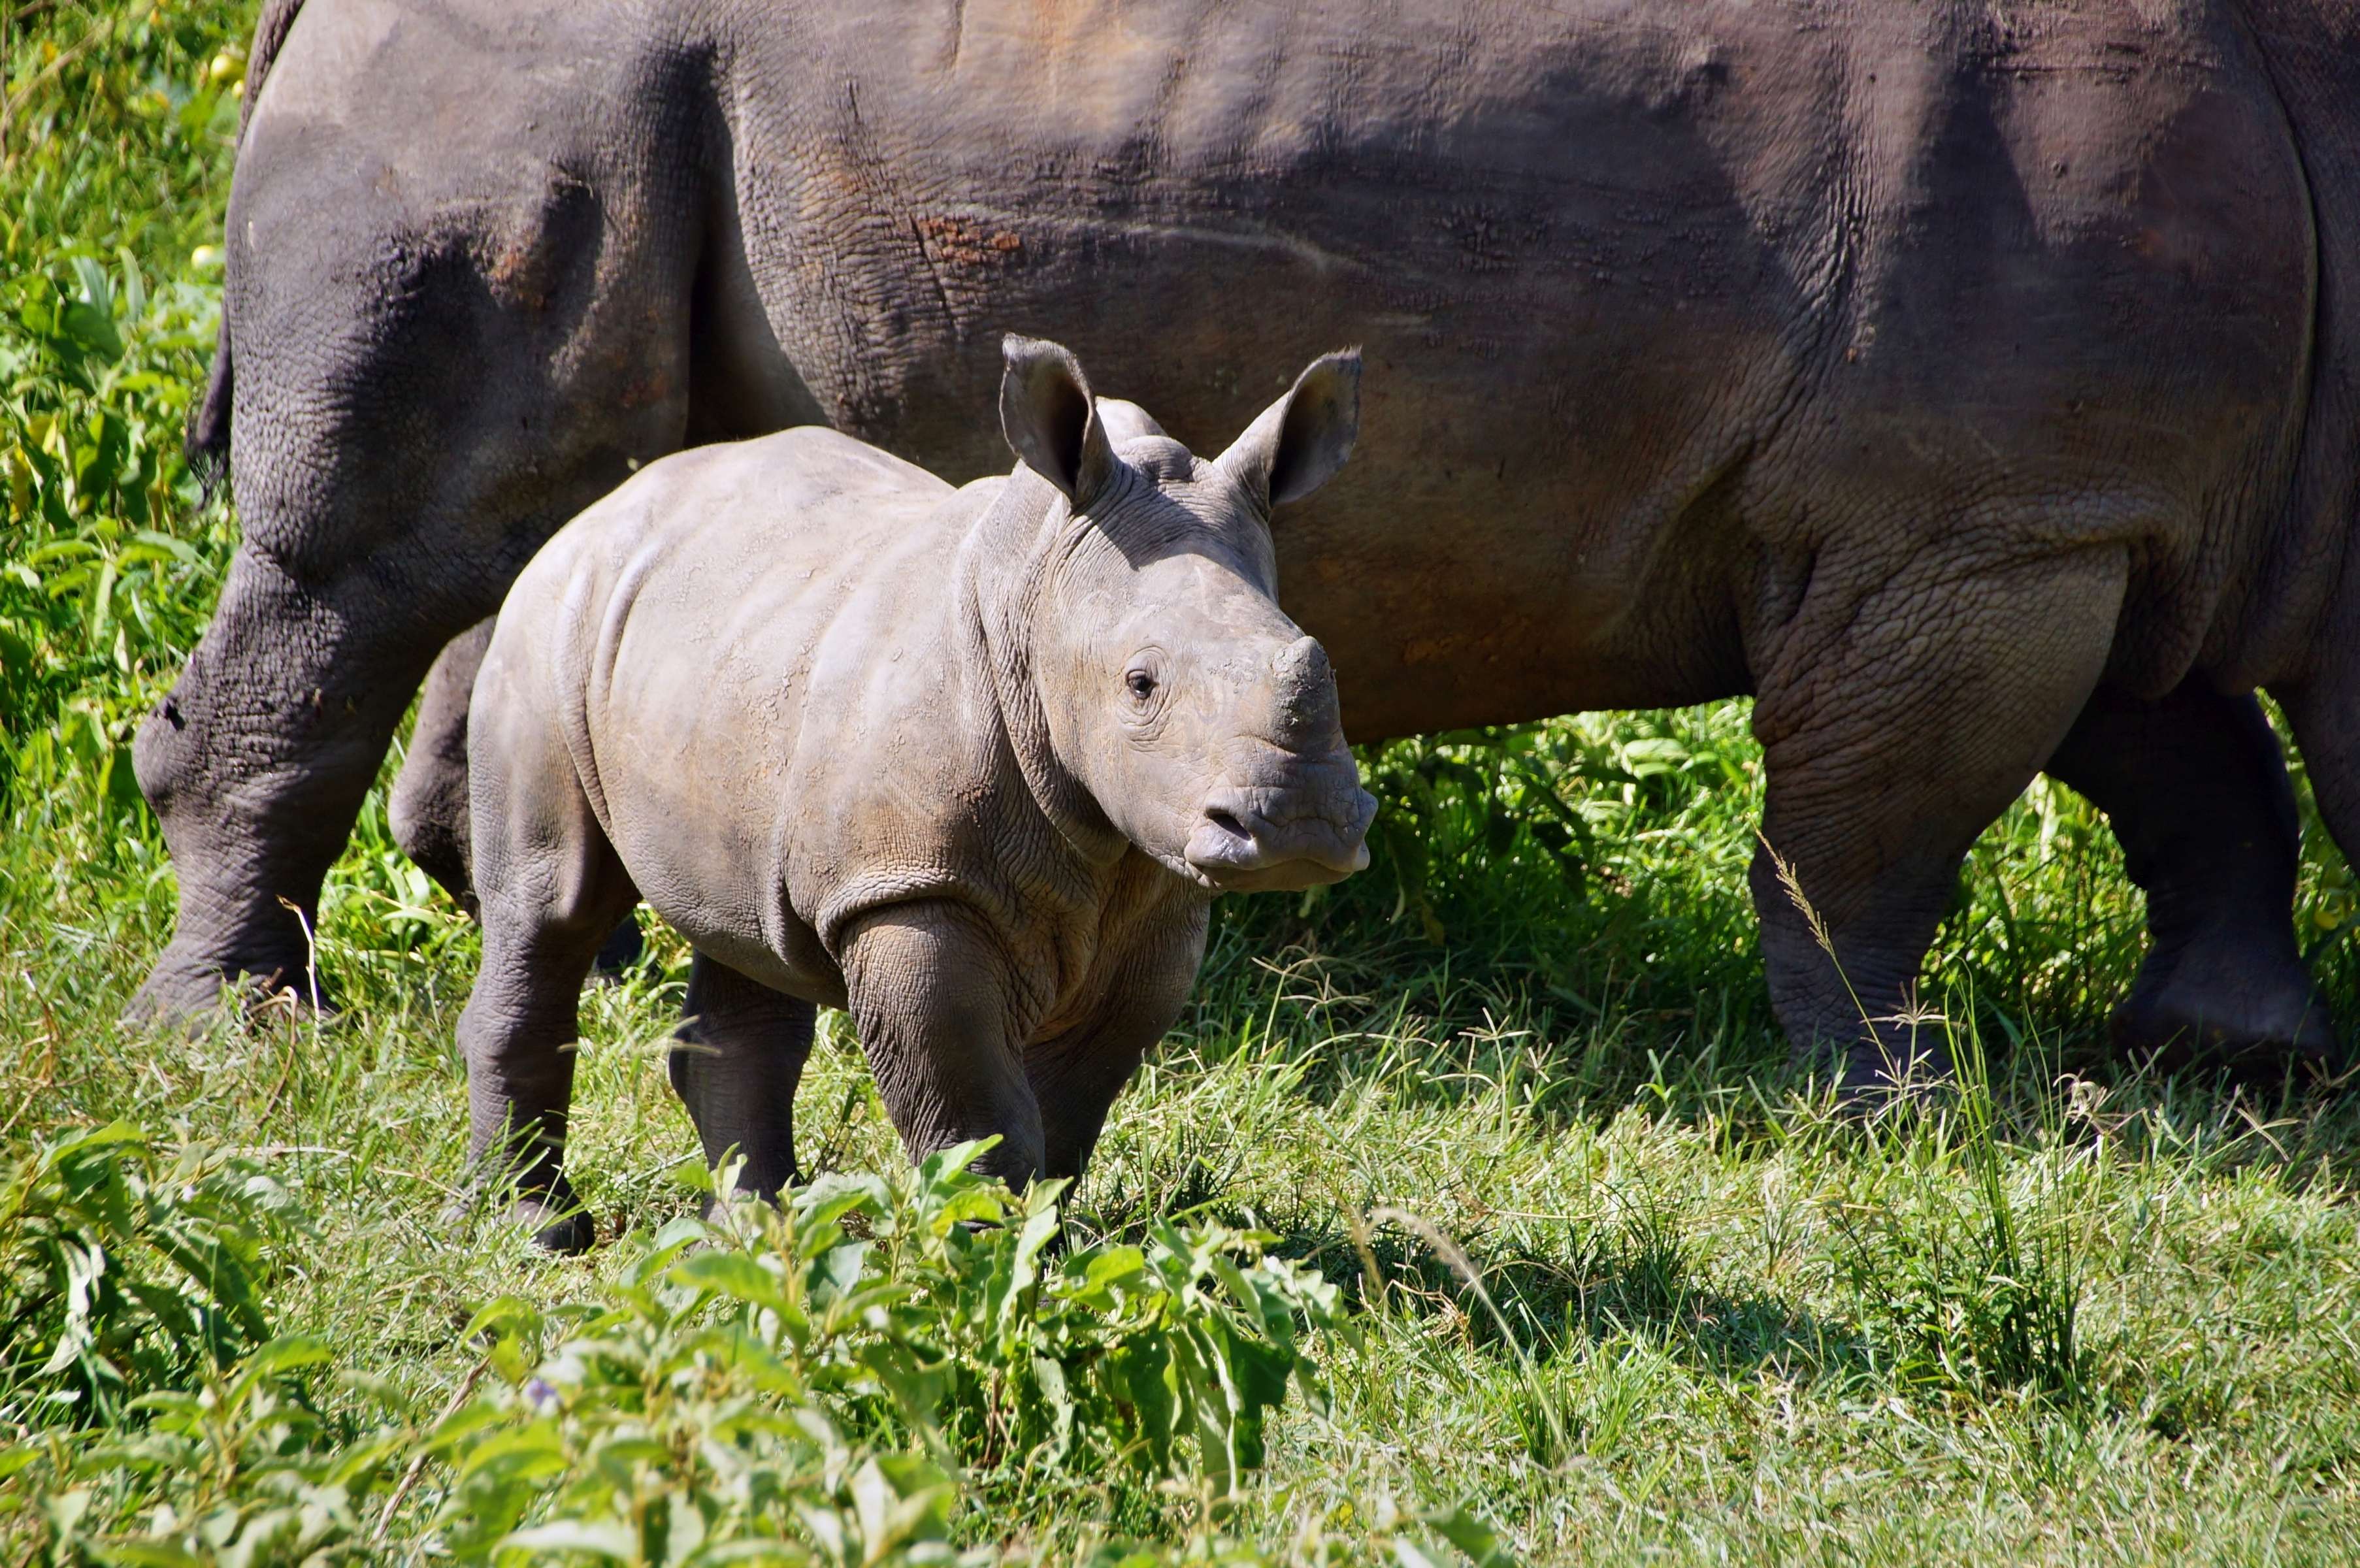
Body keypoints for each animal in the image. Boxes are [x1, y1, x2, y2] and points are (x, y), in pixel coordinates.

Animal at [137, 0, 2360, 1088]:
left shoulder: (2074, 502)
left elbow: (2185, 757)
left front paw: (2232, 1049)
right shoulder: (1981, 519)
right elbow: (1887, 824)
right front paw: (1899, 1096)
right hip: (524, 93)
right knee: (388, 551)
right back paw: (228, 1040)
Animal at [461, 337, 1372, 1249]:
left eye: (1315, 655)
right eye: (1140, 684)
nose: (1302, 824)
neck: (1038, 597)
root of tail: (607, 506)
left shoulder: (1158, 892)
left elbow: (1066, 1109)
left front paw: (1041, 1246)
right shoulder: (908, 888)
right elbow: (976, 1110)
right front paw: (987, 1252)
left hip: (730, 645)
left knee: (745, 930)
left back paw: (757, 1235)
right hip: (544, 628)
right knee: (551, 907)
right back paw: (540, 1229)